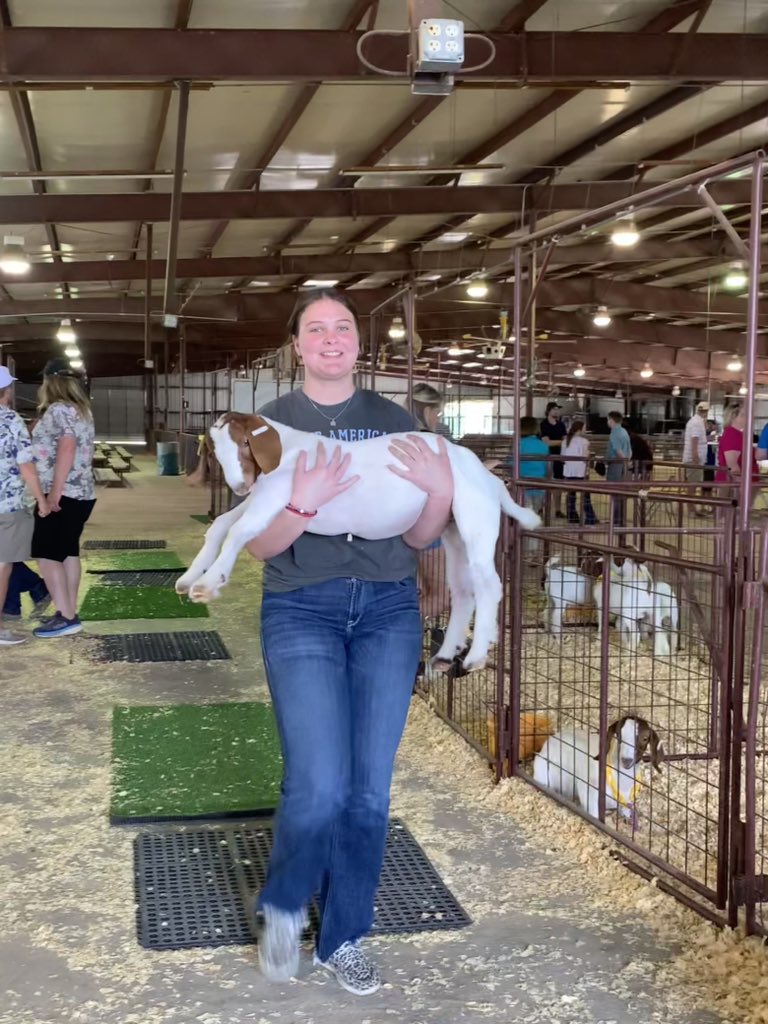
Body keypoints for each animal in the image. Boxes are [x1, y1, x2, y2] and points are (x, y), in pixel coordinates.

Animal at [177, 411, 544, 675]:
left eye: (244, 444)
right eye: (215, 451)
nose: (239, 486)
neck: (289, 451)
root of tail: (490, 477)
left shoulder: (274, 498)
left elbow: (238, 531)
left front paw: (209, 584)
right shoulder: (263, 500)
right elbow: (221, 526)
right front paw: (189, 577)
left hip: (476, 521)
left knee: (489, 585)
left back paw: (476, 655)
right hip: (451, 532)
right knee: (463, 590)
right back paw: (444, 655)